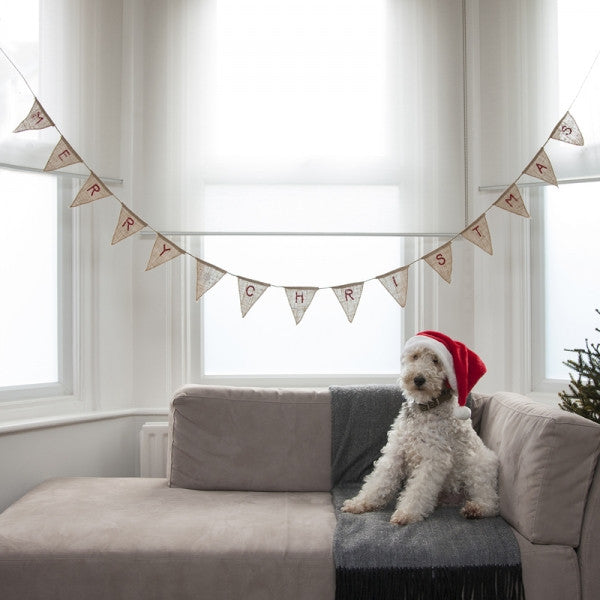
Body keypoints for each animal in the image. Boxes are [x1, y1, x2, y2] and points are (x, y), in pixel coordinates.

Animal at [340, 332, 500, 524]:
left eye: (436, 360)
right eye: (415, 356)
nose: (418, 379)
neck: (425, 408)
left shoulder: (433, 458)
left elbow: (418, 490)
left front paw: (406, 513)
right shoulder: (396, 452)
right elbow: (379, 481)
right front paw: (360, 503)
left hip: (477, 467)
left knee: (490, 500)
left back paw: (475, 508)